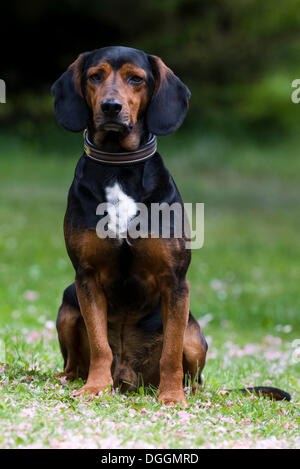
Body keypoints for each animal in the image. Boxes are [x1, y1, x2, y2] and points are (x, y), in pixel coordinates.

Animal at [52, 45, 290, 404]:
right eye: (94, 76)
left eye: (136, 79)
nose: (111, 107)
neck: (119, 168)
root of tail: (128, 379)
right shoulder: (87, 278)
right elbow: (99, 345)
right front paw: (95, 388)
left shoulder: (175, 282)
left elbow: (171, 352)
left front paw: (172, 397)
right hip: (68, 300)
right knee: (74, 365)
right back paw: (68, 381)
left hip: (194, 331)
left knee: (194, 374)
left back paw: (184, 391)